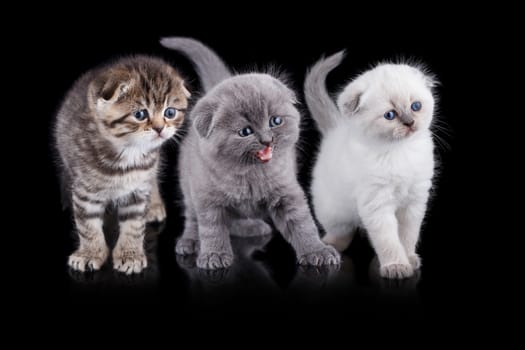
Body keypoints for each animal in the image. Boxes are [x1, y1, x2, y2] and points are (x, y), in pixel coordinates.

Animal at [55, 55, 189, 274]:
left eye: (170, 112)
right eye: (140, 114)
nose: (160, 128)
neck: (128, 155)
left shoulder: (138, 188)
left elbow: (134, 224)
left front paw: (130, 254)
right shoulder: (85, 190)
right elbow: (87, 225)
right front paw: (90, 253)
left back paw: (154, 205)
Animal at [161, 37, 340, 268]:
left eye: (275, 121)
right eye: (245, 131)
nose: (267, 140)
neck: (250, 175)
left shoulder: (287, 192)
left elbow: (303, 224)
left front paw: (318, 251)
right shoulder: (208, 198)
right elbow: (211, 229)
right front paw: (214, 255)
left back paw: (252, 227)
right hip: (188, 186)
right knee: (193, 218)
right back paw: (190, 242)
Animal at [304, 52, 436, 280]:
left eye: (415, 106)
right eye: (390, 115)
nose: (410, 123)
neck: (399, 152)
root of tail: (337, 129)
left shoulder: (414, 203)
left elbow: (407, 236)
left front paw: (409, 259)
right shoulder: (377, 204)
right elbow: (388, 241)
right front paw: (396, 266)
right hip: (333, 210)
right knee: (342, 232)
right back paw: (330, 247)